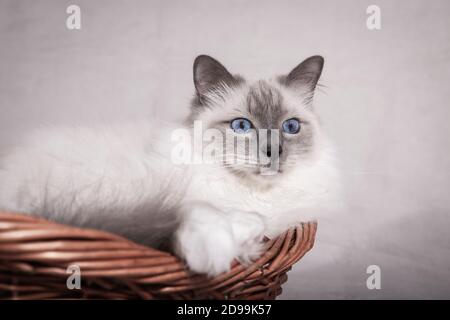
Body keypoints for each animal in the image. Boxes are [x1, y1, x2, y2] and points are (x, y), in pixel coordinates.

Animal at [0, 54, 340, 276]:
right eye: (242, 126)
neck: (250, 195)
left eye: (290, 127)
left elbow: (256, 223)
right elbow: (197, 212)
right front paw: (212, 256)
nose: (274, 150)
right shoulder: (159, 199)